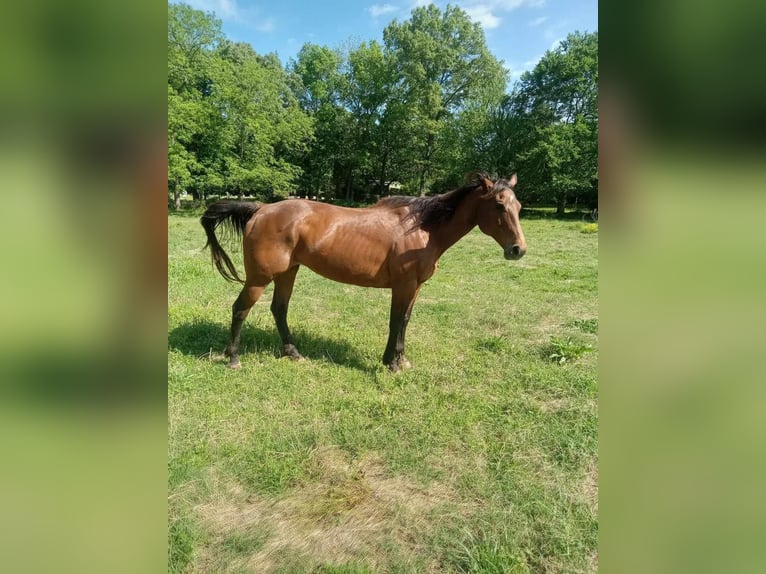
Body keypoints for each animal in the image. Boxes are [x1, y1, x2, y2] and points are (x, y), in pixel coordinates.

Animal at [200, 171, 528, 374]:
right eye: (499, 205)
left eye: (519, 205)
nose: (518, 250)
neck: (422, 228)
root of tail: (260, 209)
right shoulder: (404, 285)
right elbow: (396, 320)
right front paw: (391, 364)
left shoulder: (416, 286)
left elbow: (405, 321)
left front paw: (400, 360)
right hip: (260, 277)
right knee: (240, 309)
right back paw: (233, 358)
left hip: (288, 272)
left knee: (279, 309)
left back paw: (292, 352)